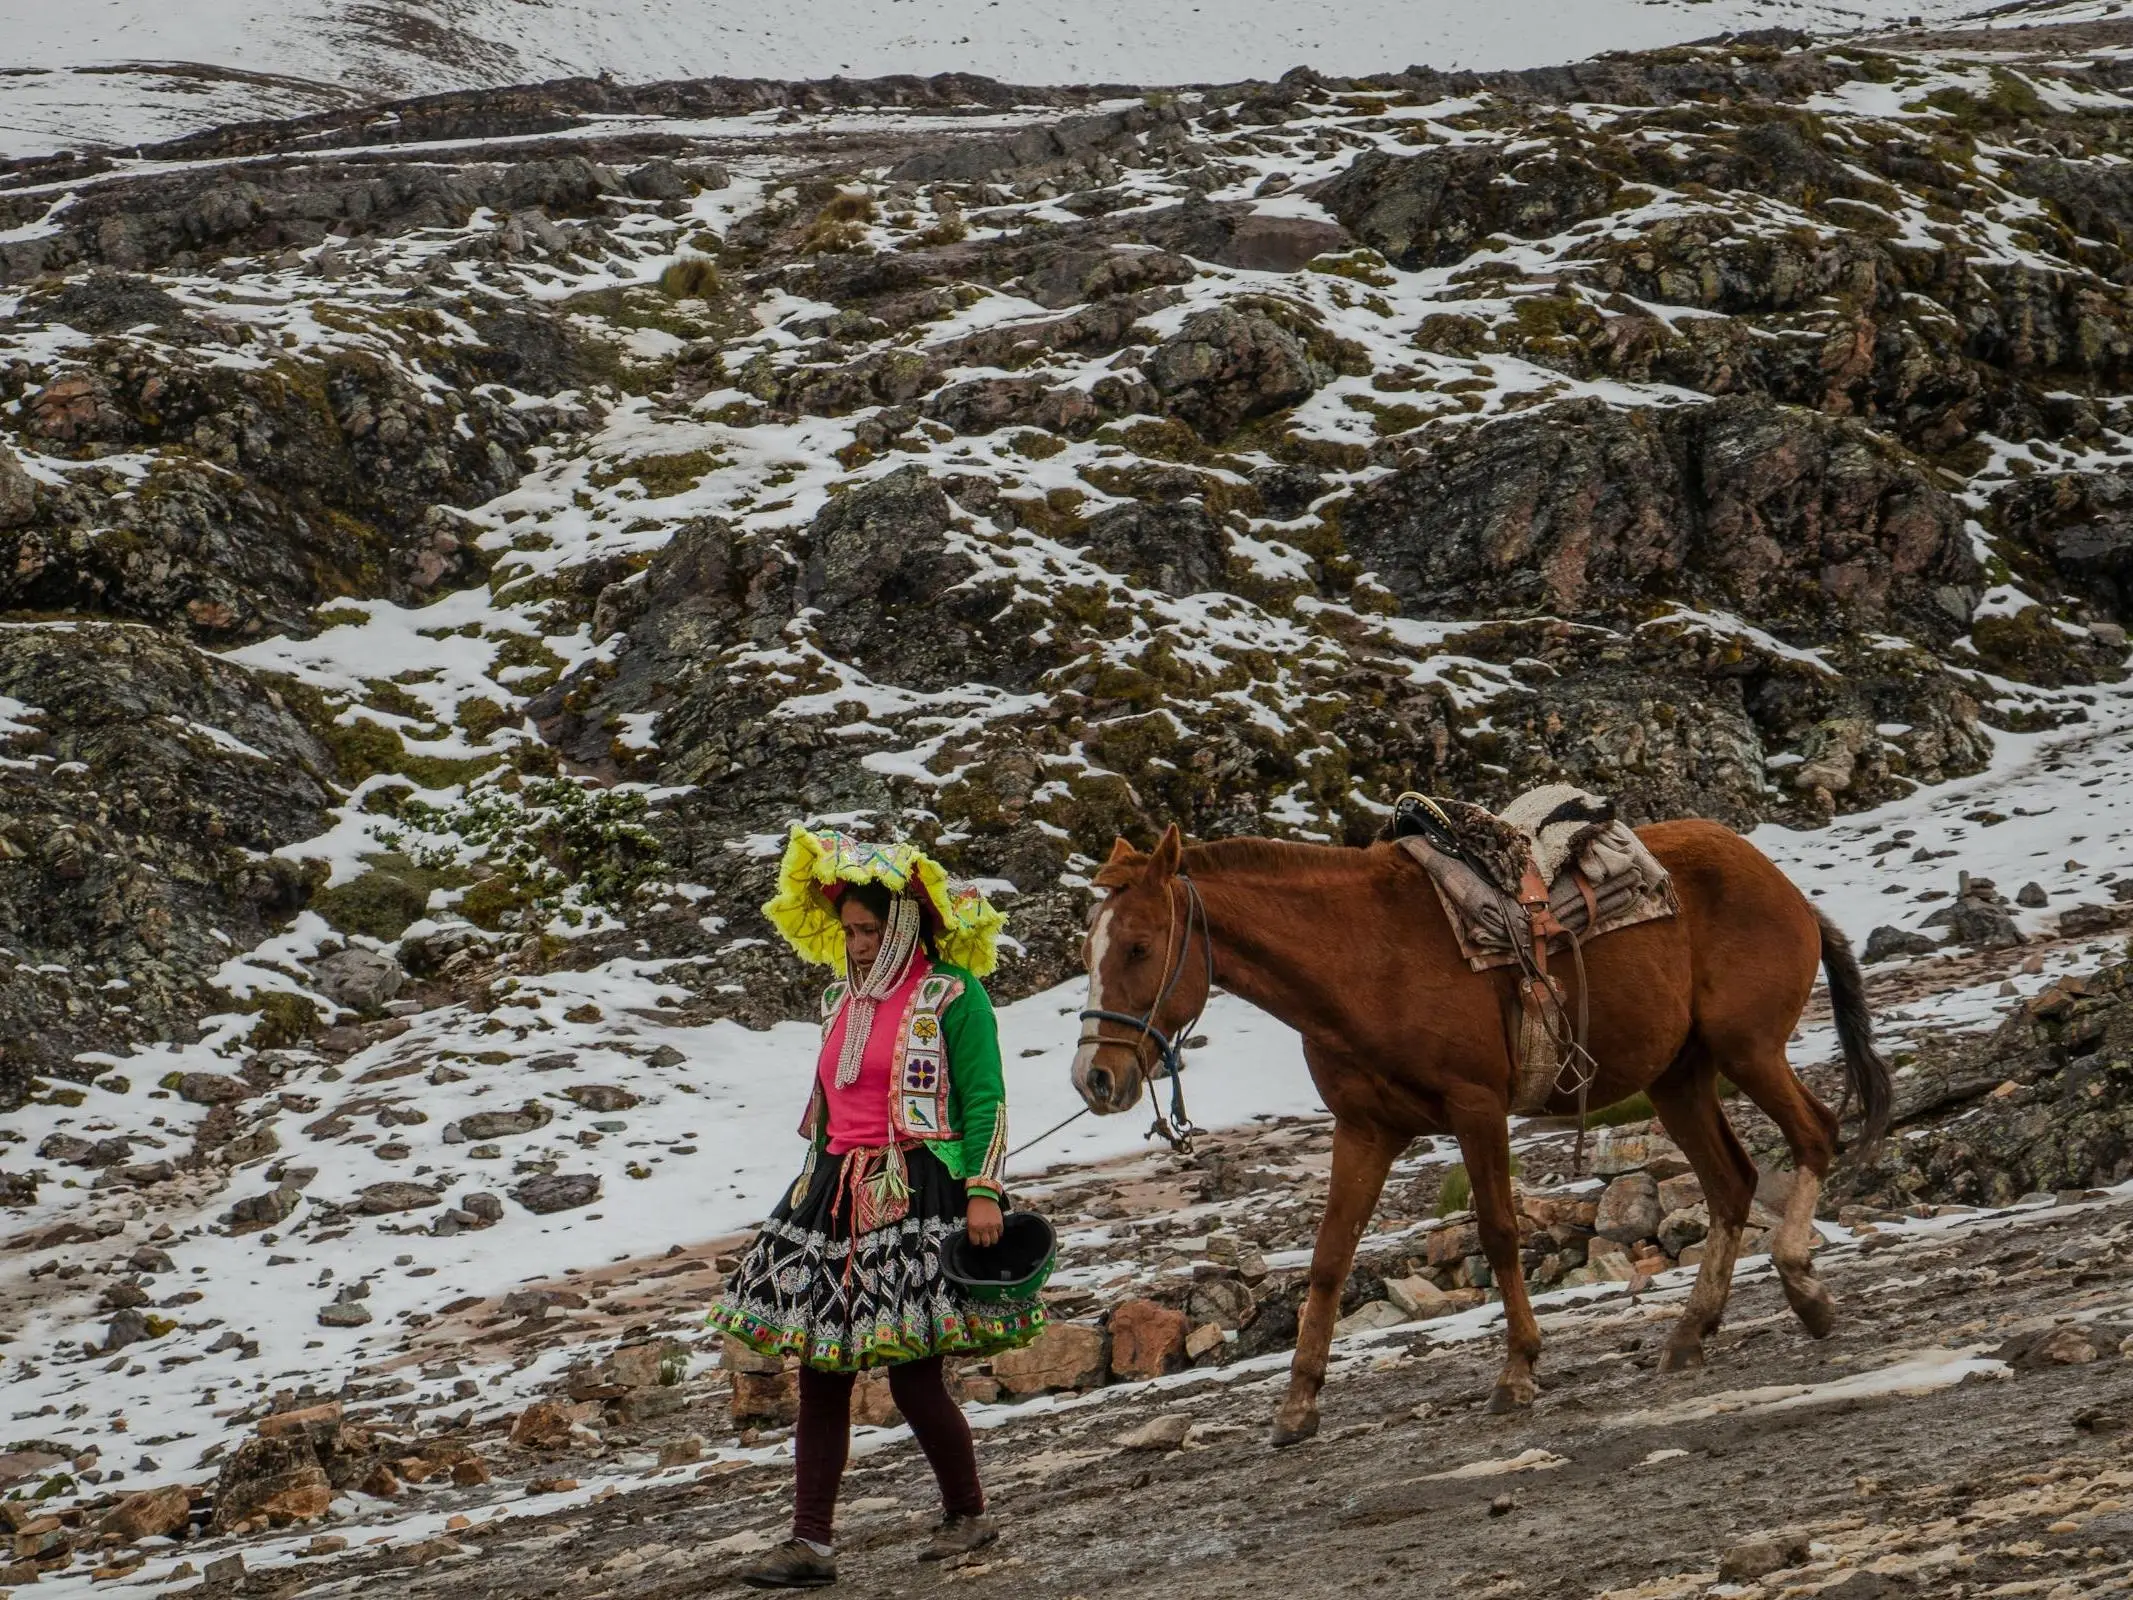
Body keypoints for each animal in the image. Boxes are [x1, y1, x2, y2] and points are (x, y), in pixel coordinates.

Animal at [1075, 819, 1894, 1450]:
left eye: (1140, 946)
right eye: (1089, 953)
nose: (1095, 1079)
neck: (1362, 959)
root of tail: (1785, 888)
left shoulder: (1475, 1109)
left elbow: (1499, 1232)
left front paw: (1518, 1372)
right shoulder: (1364, 1130)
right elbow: (1329, 1259)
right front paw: (1296, 1406)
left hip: (1747, 1049)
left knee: (1814, 1135)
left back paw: (1804, 1288)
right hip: (1679, 1079)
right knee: (1731, 1183)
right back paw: (1690, 1333)